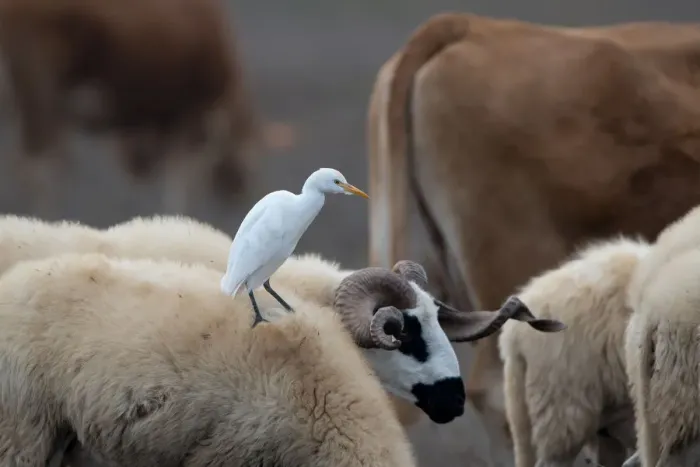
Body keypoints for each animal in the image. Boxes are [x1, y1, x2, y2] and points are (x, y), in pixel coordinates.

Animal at [0, 0, 260, 218]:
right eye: (249, 155)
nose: (242, 192)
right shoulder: (189, 117)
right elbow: (178, 182)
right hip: (38, 86)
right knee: (39, 167)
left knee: (35, 163)